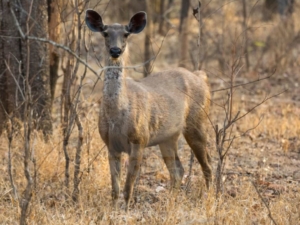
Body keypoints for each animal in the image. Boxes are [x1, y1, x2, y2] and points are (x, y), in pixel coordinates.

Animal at [85, 9, 212, 211]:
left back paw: (211, 199)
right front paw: (112, 210)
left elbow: (128, 188)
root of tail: (201, 76)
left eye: (126, 34)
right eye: (105, 33)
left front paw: (125, 211)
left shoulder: (139, 140)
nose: (115, 50)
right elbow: (114, 190)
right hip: (168, 137)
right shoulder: (110, 144)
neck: (117, 116)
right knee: (178, 170)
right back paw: (170, 204)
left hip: (197, 122)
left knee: (207, 165)